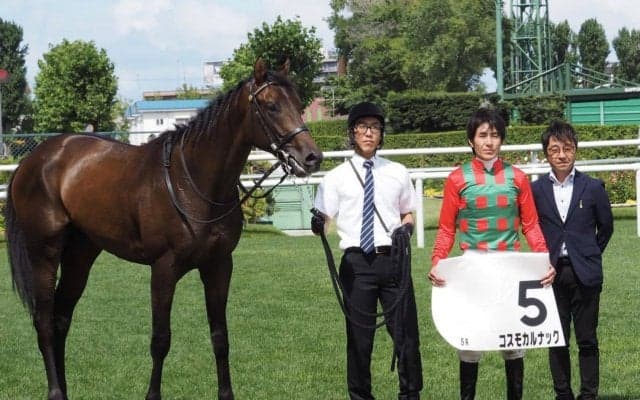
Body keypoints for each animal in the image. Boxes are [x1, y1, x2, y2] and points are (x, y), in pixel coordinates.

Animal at [4, 58, 322, 400]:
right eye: (271, 106)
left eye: (299, 105)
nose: (312, 157)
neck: (192, 180)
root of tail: (33, 160)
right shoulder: (163, 269)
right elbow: (160, 340)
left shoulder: (219, 266)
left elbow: (220, 337)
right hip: (44, 254)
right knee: (45, 322)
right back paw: (55, 391)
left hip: (80, 254)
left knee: (61, 319)